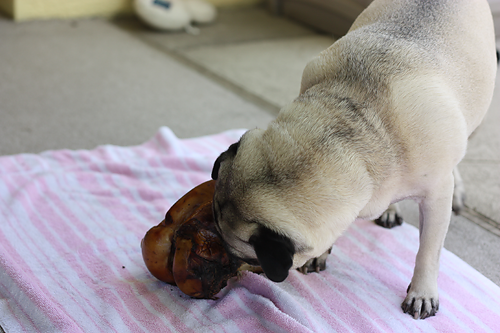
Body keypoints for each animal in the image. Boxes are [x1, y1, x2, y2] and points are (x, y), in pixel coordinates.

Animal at [210, 0, 496, 320]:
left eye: (244, 256)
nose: (227, 264)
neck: (354, 122)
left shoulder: (436, 198)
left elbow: (428, 251)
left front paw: (423, 291)